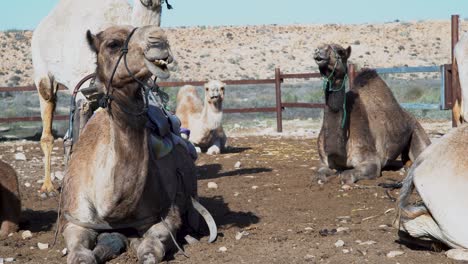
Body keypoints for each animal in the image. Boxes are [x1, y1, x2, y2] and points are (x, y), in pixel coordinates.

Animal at [31, 0, 170, 194]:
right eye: (113, 44)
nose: (159, 43)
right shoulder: (82, 94)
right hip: (43, 75)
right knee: (48, 123)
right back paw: (47, 187)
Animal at [61, 25, 217, 264]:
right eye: (113, 44)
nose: (159, 40)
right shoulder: (75, 218)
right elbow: (81, 255)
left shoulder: (166, 216)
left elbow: (151, 251)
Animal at [314, 43, 432, 184]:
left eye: (340, 51)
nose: (319, 51)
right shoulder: (323, 161)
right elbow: (319, 173)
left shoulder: (371, 161)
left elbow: (347, 175)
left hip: (417, 131)